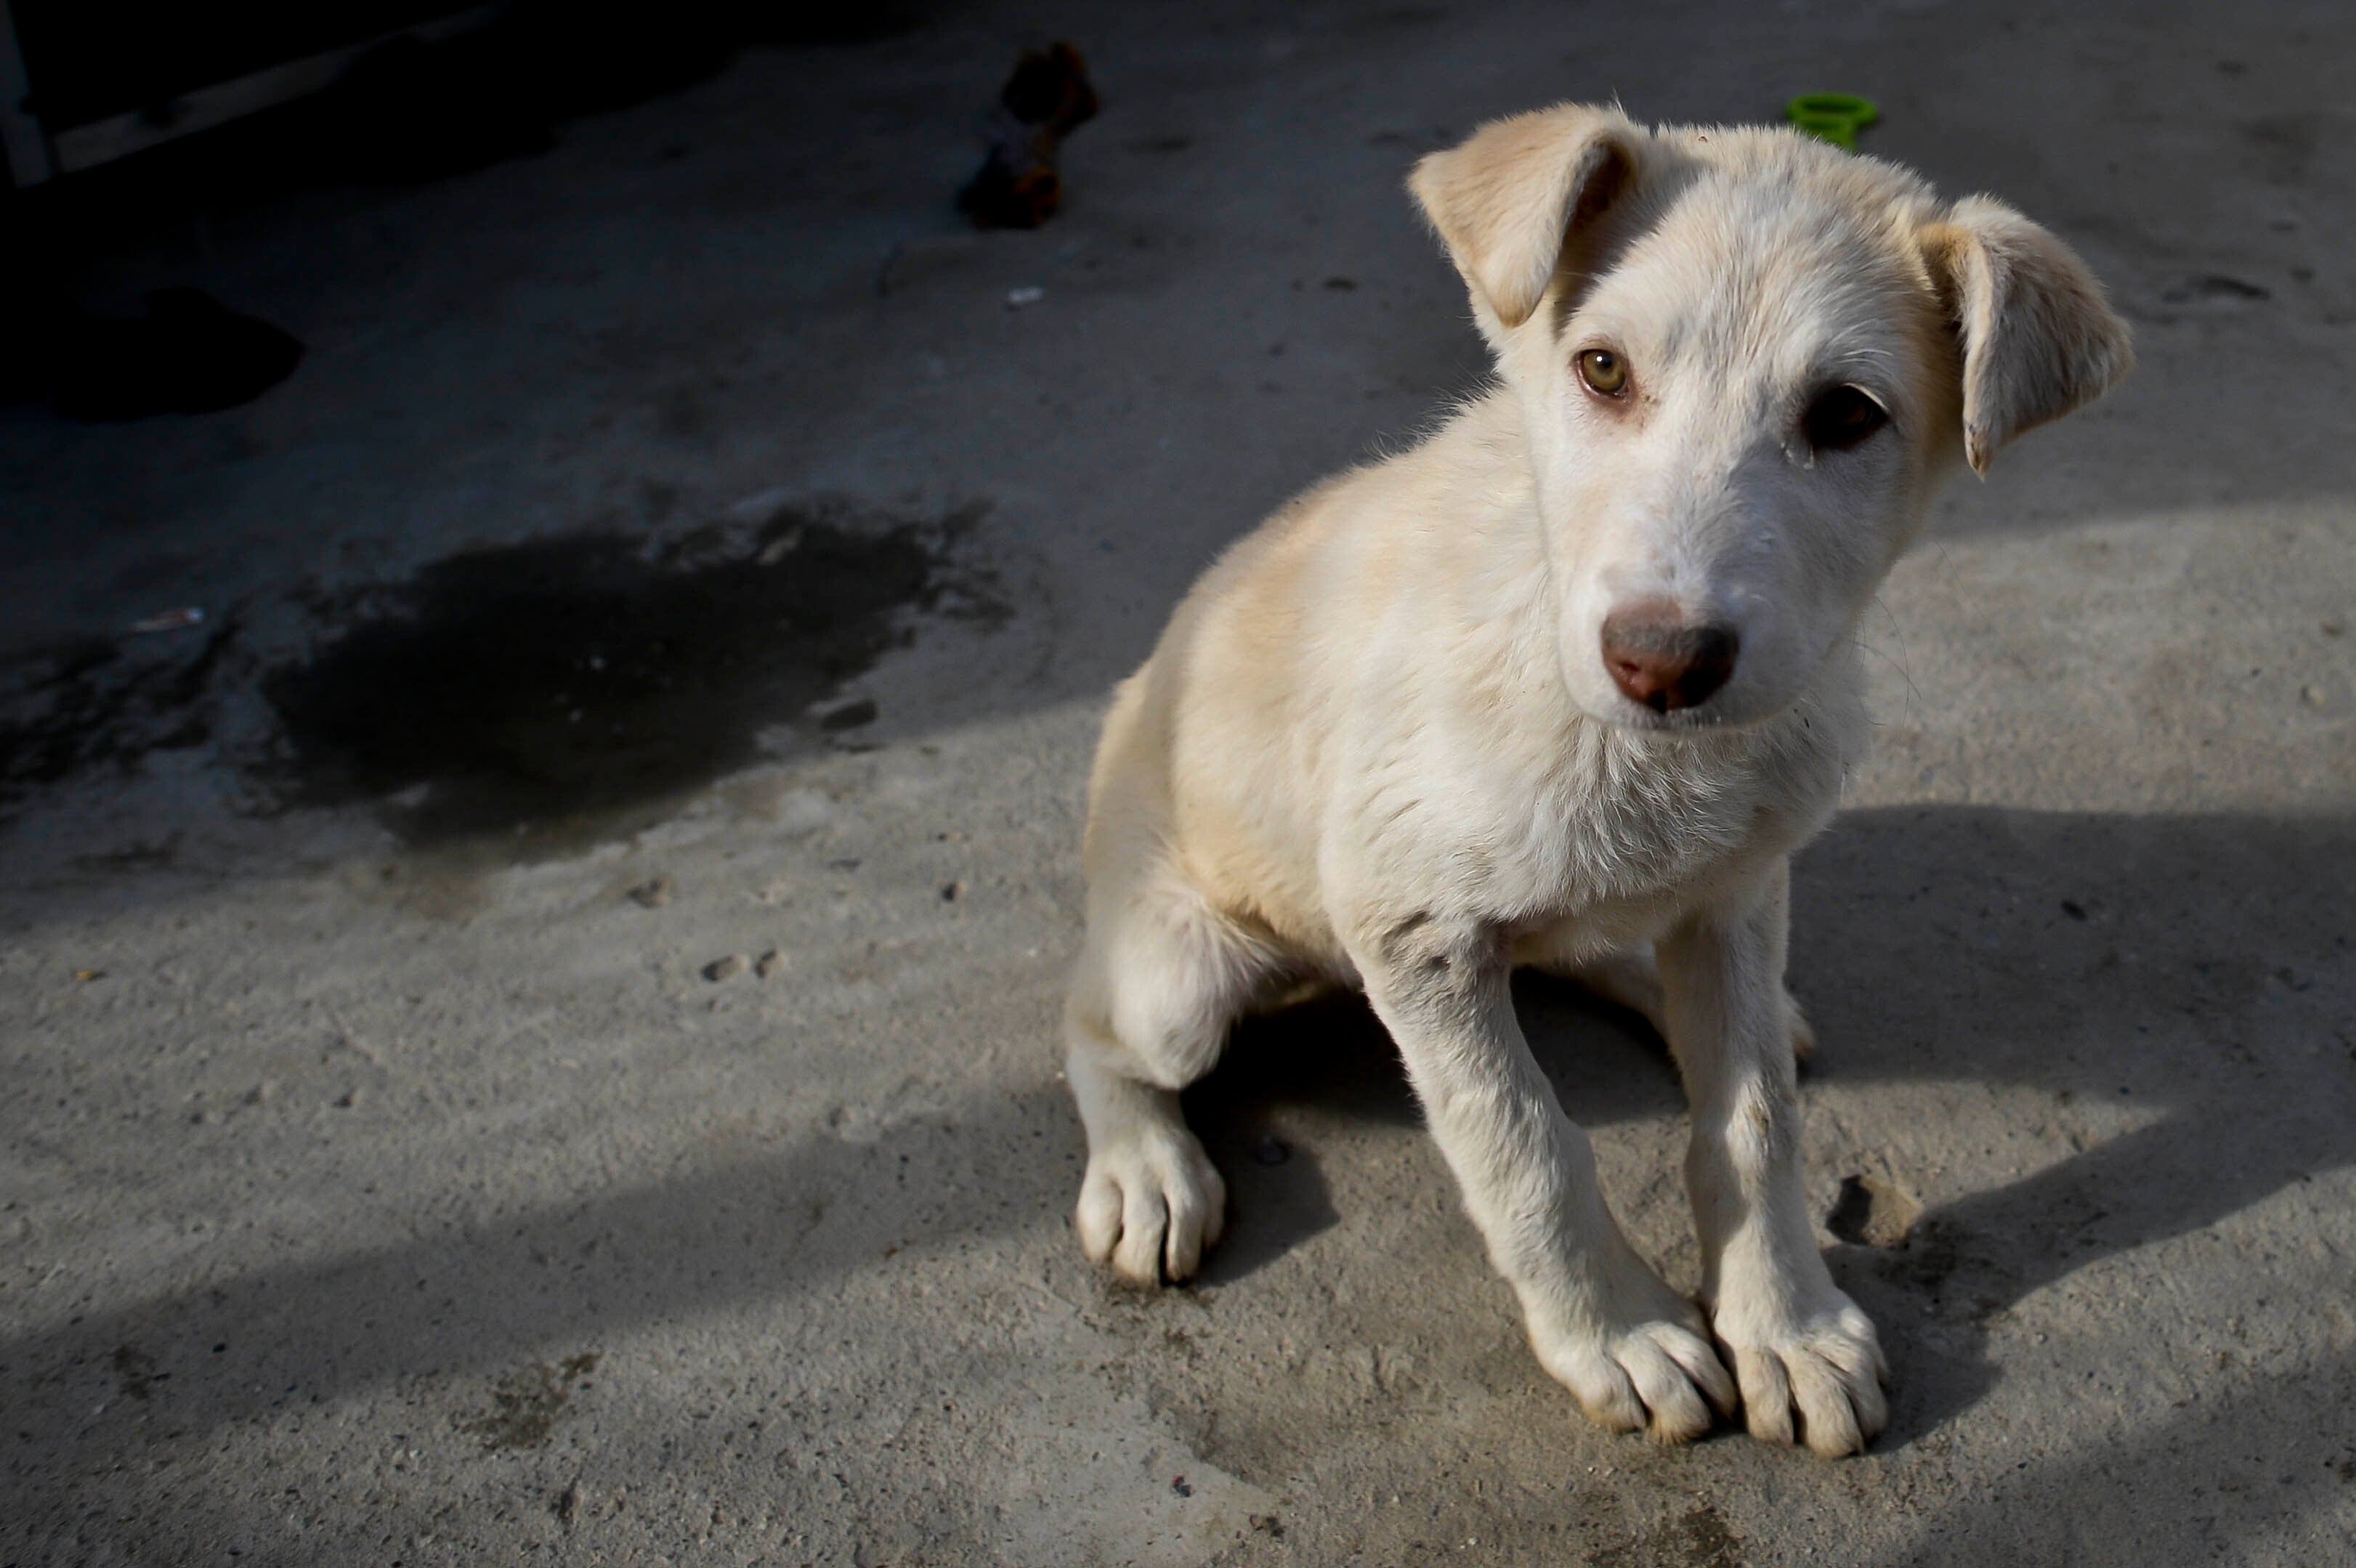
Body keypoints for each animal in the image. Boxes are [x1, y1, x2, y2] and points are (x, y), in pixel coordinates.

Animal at [1069, 103, 2139, 1450]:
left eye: (1846, 414)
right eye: (1601, 371)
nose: (1659, 660)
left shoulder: (1737, 889)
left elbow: (1749, 1122)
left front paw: (1782, 1320)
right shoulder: (1408, 927)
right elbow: (1523, 1143)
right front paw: (1618, 1331)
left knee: (1593, 943)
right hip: (1176, 974)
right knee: (1092, 1026)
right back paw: (1142, 1168)